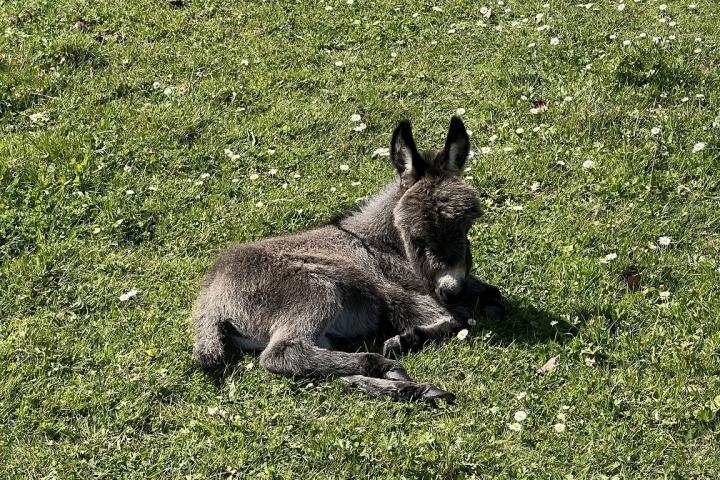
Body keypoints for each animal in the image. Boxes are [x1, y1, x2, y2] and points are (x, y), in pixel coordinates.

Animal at [194, 116, 504, 402]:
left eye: (467, 227)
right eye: (418, 237)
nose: (452, 288)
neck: (381, 244)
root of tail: (211, 295)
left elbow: (491, 295)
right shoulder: (395, 293)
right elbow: (456, 320)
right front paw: (406, 338)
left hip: (322, 332)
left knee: (326, 371)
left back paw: (412, 387)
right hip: (316, 291)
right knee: (283, 354)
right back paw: (387, 366)